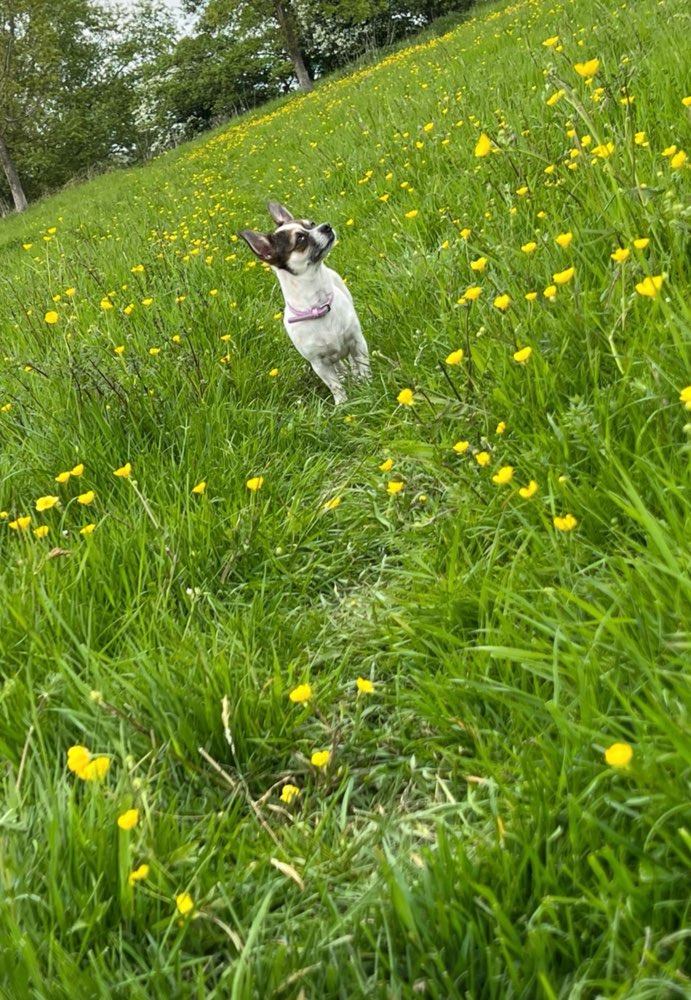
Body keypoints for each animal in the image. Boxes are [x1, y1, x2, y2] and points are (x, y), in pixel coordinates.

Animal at [238, 201, 370, 404]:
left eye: (311, 224)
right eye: (300, 239)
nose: (325, 226)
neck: (317, 305)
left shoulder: (357, 342)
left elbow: (363, 366)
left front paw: (368, 386)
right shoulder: (319, 364)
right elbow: (335, 386)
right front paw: (342, 403)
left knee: (351, 361)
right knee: (339, 366)